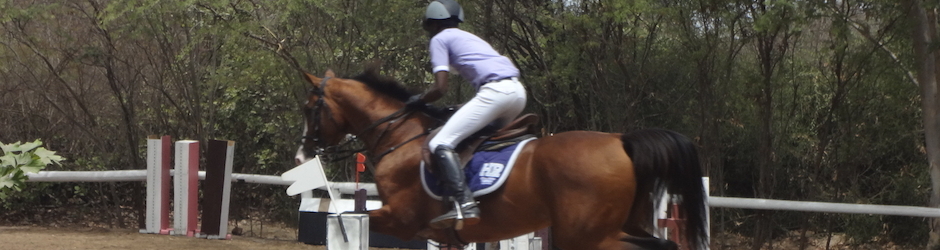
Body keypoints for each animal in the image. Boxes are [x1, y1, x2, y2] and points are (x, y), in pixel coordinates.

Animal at [294, 67, 704, 250]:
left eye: (310, 108)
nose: (303, 152)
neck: (399, 135)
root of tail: (621, 141)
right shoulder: (447, 236)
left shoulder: (402, 219)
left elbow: (345, 218)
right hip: (615, 225)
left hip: (586, 235)